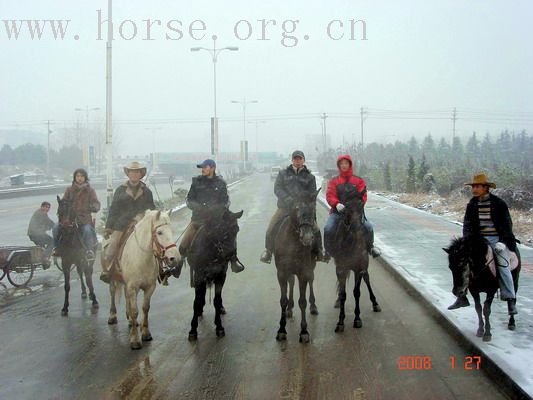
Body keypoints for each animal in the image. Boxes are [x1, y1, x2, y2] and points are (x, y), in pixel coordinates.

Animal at [107, 209, 180, 350]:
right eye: (159, 232)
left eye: (171, 230)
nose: (175, 258)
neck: (142, 258)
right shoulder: (132, 287)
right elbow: (135, 311)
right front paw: (135, 340)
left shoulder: (149, 287)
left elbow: (145, 308)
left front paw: (145, 333)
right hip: (114, 279)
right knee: (112, 293)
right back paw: (112, 316)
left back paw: (131, 321)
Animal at [185, 209, 243, 340]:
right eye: (221, 229)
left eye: (236, 229)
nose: (230, 254)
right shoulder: (199, 276)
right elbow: (196, 301)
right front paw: (193, 330)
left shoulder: (220, 276)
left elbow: (216, 300)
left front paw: (219, 326)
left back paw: (221, 308)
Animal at [272, 189, 318, 342]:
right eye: (296, 208)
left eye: (313, 208)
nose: (307, 237)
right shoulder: (281, 273)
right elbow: (283, 300)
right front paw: (281, 329)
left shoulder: (303, 272)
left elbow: (302, 301)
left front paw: (304, 331)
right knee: (291, 282)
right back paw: (290, 309)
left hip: (311, 266)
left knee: (311, 280)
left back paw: (313, 306)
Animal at [330, 189, 380, 332]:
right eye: (346, 205)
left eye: (361, 204)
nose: (356, 227)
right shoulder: (341, 269)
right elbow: (343, 294)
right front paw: (340, 321)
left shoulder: (359, 269)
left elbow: (356, 292)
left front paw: (357, 319)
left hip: (364, 266)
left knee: (367, 278)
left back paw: (375, 303)